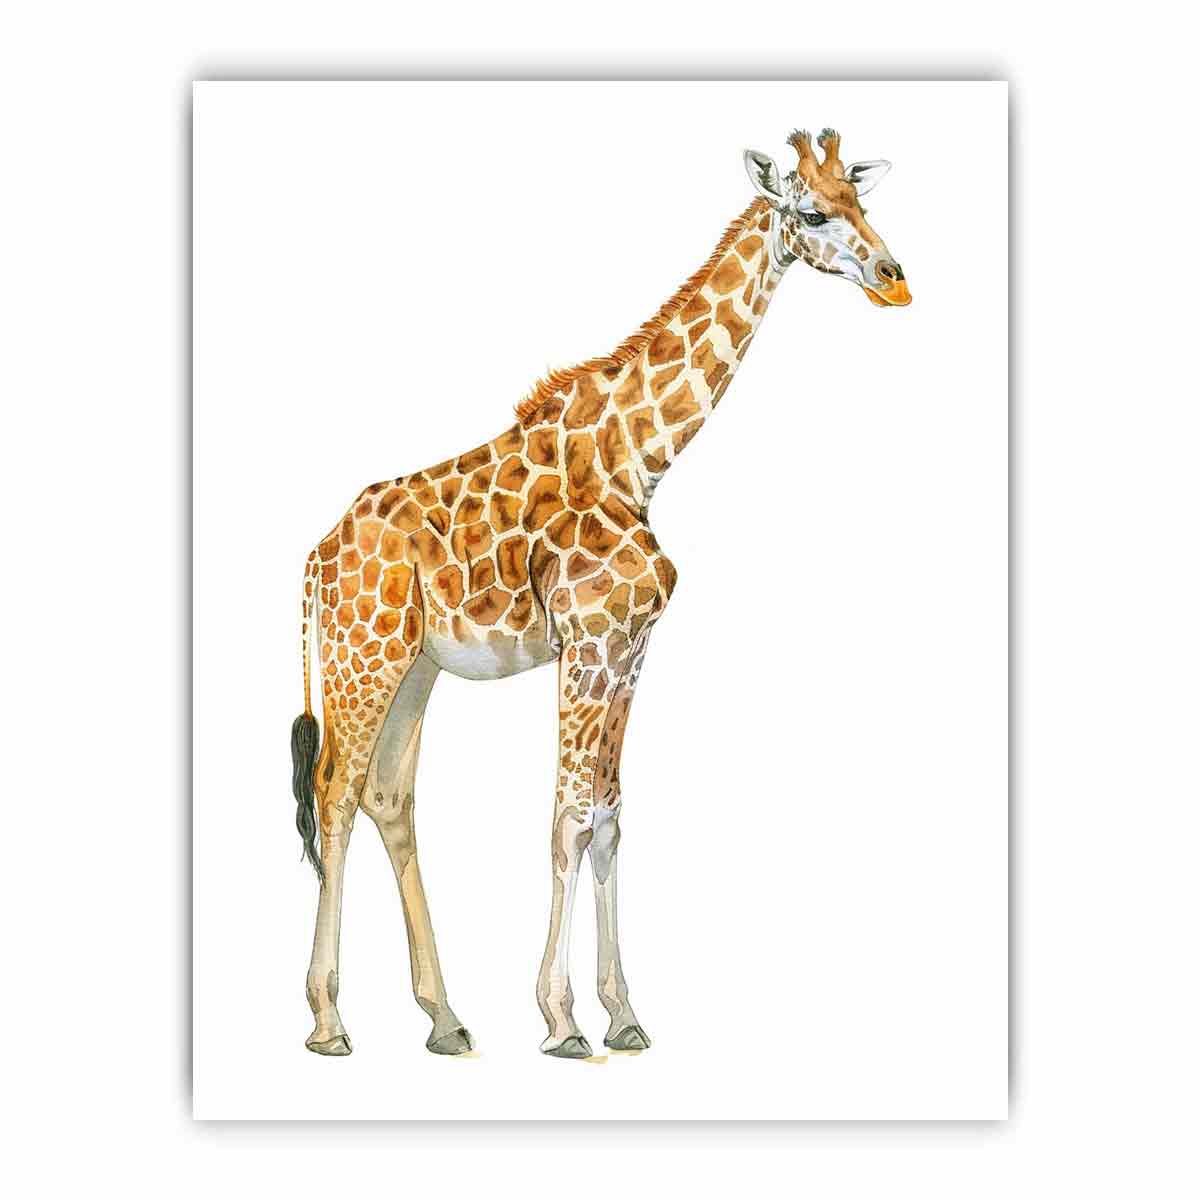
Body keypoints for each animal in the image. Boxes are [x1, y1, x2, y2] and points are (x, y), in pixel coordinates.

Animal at [291, 127, 911, 1059]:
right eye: (810, 213)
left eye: (861, 200)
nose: (894, 277)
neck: (641, 455)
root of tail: (317, 560)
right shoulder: (585, 642)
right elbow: (570, 816)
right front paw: (560, 1019)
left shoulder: (628, 647)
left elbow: (612, 818)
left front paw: (622, 1015)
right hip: (361, 657)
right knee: (334, 789)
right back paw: (329, 1021)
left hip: (415, 667)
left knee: (386, 795)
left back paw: (445, 1019)